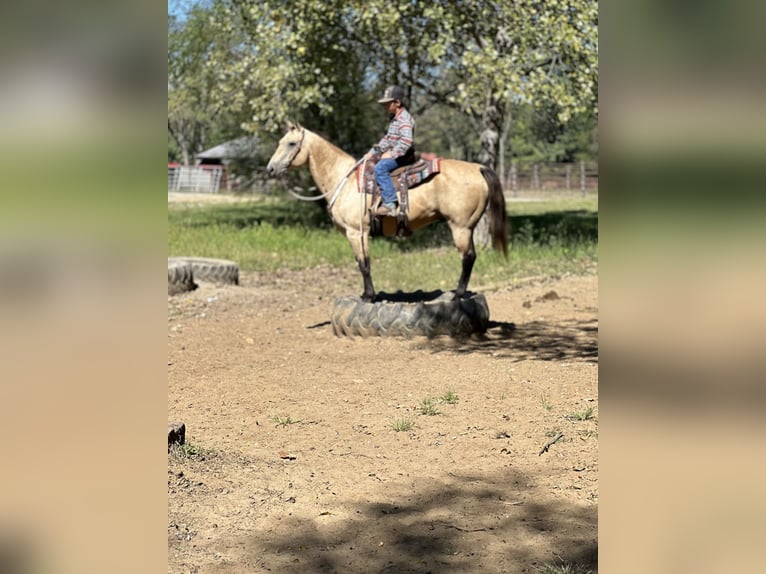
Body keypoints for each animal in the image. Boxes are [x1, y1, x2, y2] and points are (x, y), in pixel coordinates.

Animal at [266, 121, 510, 302]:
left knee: (467, 257)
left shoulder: (357, 232)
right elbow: (363, 263)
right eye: (280, 142)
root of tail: (478, 168)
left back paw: (457, 295)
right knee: (471, 257)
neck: (344, 181)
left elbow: (363, 264)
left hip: (460, 226)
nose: (270, 169)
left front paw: (368, 296)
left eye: (291, 143)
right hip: (466, 227)